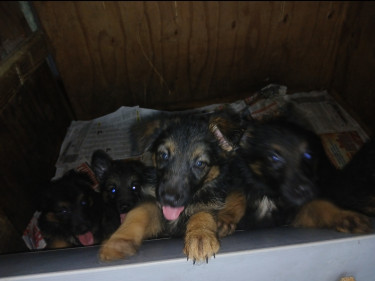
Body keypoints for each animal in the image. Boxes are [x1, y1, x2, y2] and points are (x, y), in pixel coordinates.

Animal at [98, 112, 242, 262]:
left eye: (200, 163)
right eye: (163, 155)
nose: (169, 200)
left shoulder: (209, 199)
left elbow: (202, 212)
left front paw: (201, 236)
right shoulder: (152, 201)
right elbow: (137, 214)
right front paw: (118, 241)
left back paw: (224, 222)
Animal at [217, 118, 374, 236]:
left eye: (308, 155)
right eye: (274, 157)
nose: (306, 191)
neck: (271, 193)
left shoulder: (294, 214)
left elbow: (319, 205)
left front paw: (345, 216)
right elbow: (237, 194)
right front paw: (225, 217)